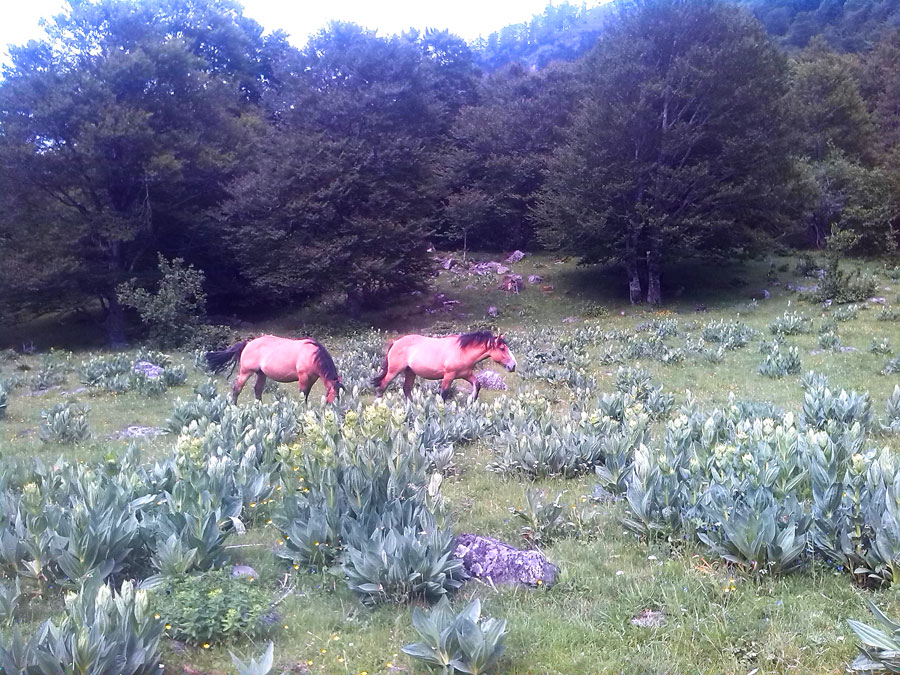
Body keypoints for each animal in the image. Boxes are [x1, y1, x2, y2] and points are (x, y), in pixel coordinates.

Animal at [206, 335, 342, 404]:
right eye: (334, 396)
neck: (312, 355)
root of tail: (247, 343)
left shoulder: (312, 378)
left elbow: (306, 394)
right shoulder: (303, 377)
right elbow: (302, 394)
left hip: (261, 374)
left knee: (258, 390)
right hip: (246, 372)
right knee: (237, 389)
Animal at [372, 330, 517, 403]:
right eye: (502, 348)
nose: (513, 366)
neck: (462, 351)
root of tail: (395, 342)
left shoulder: (466, 374)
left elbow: (477, 385)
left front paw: (471, 401)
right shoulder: (449, 376)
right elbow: (443, 394)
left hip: (410, 372)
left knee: (406, 390)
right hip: (394, 371)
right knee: (382, 386)